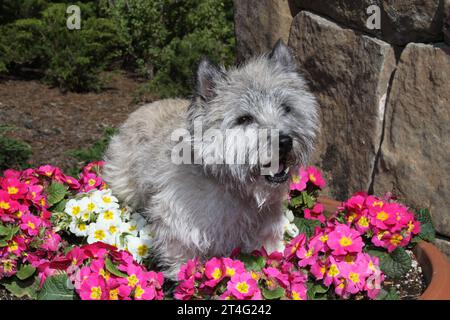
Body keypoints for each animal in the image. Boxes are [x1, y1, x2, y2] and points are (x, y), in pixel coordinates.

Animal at [103, 40, 318, 280]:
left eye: (286, 108)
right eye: (244, 119)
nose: (285, 141)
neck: (237, 191)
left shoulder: (263, 235)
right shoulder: (180, 232)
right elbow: (183, 266)